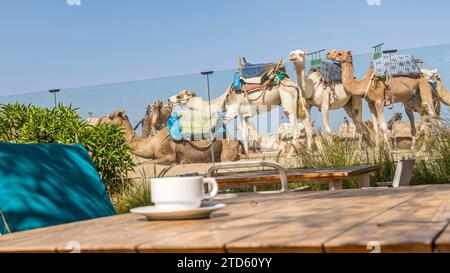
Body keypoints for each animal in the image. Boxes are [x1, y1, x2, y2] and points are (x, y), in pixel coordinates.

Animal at [99, 109, 243, 165]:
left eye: (111, 117)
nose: (100, 121)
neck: (152, 143)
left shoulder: (169, 156)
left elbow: (144, 162)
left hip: (227, 148)